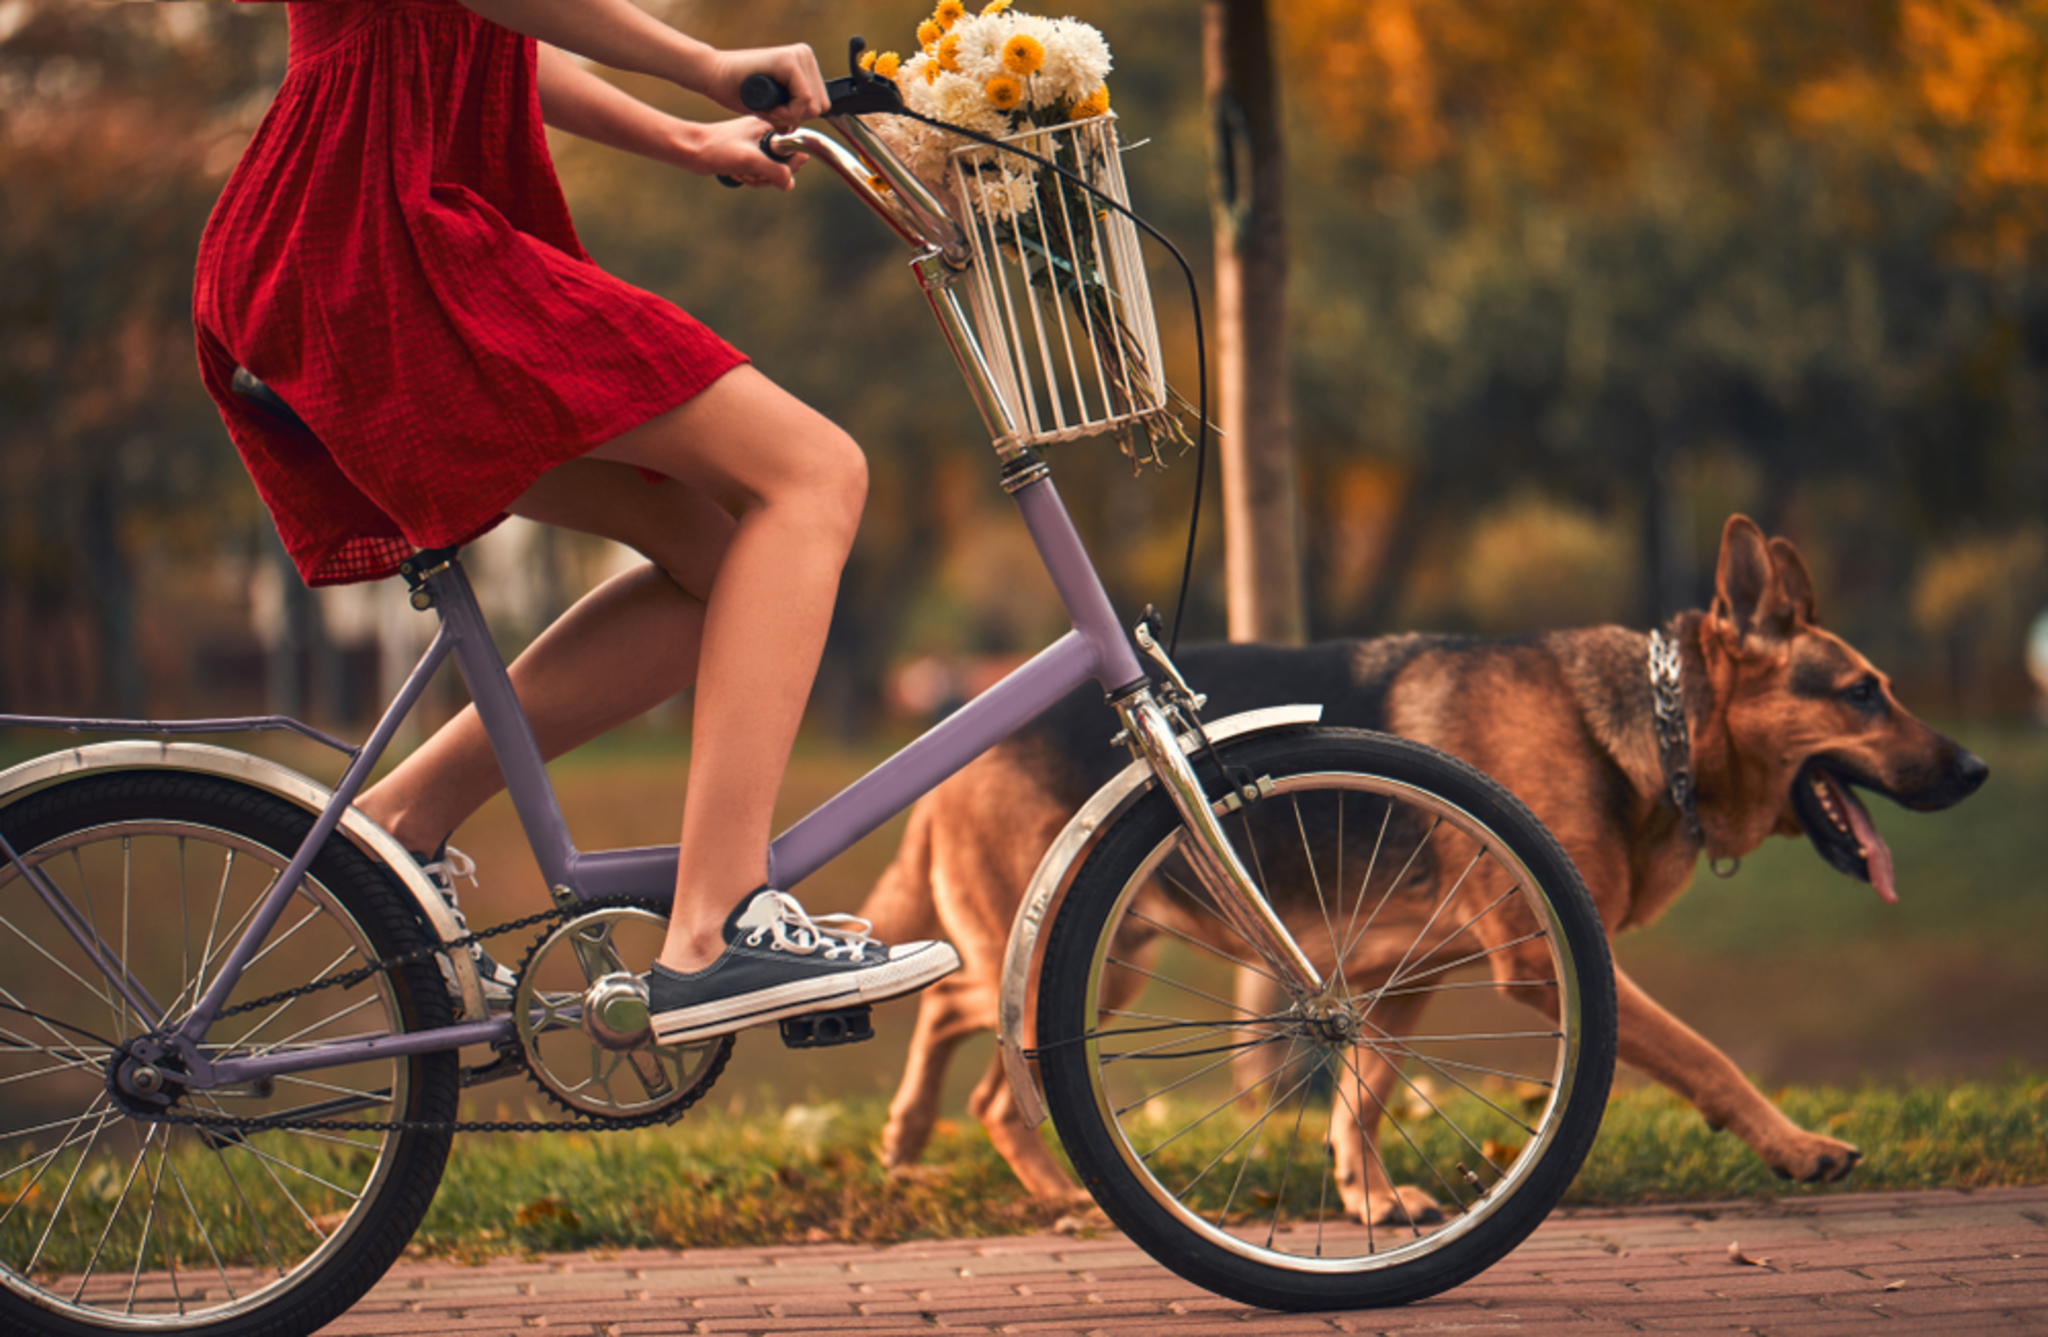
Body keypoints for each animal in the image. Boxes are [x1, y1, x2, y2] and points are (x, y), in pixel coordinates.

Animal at [860, 515, 1982, 1228]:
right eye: (1863, 693)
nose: (1975, 769)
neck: (1645, 732)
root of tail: (955, 749)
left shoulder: (1404, 972)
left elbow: (1361, 1092)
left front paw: (1366, 1194)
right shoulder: (1539, 959)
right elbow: (1702, 1052)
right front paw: (1794, 1144)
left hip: (1105, 949)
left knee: (951, 1012)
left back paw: (909, 1138)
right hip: (1094, 955)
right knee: (981, 1057)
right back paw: (1036, 1184)